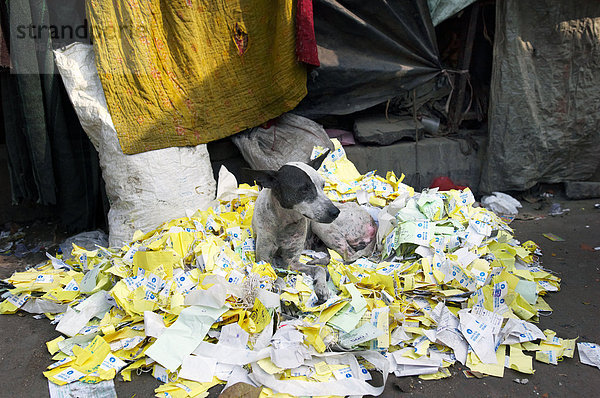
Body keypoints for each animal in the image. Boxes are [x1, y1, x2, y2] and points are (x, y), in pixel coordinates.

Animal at [245, 151, 338, 304]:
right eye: (304, 189)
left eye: (323, 185)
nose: (335, 212)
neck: (285, 222)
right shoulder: (263, 259)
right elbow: (276, 277)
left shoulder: (292, 263)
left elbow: (319, 269)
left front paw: (322, 287)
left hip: (320, 227)